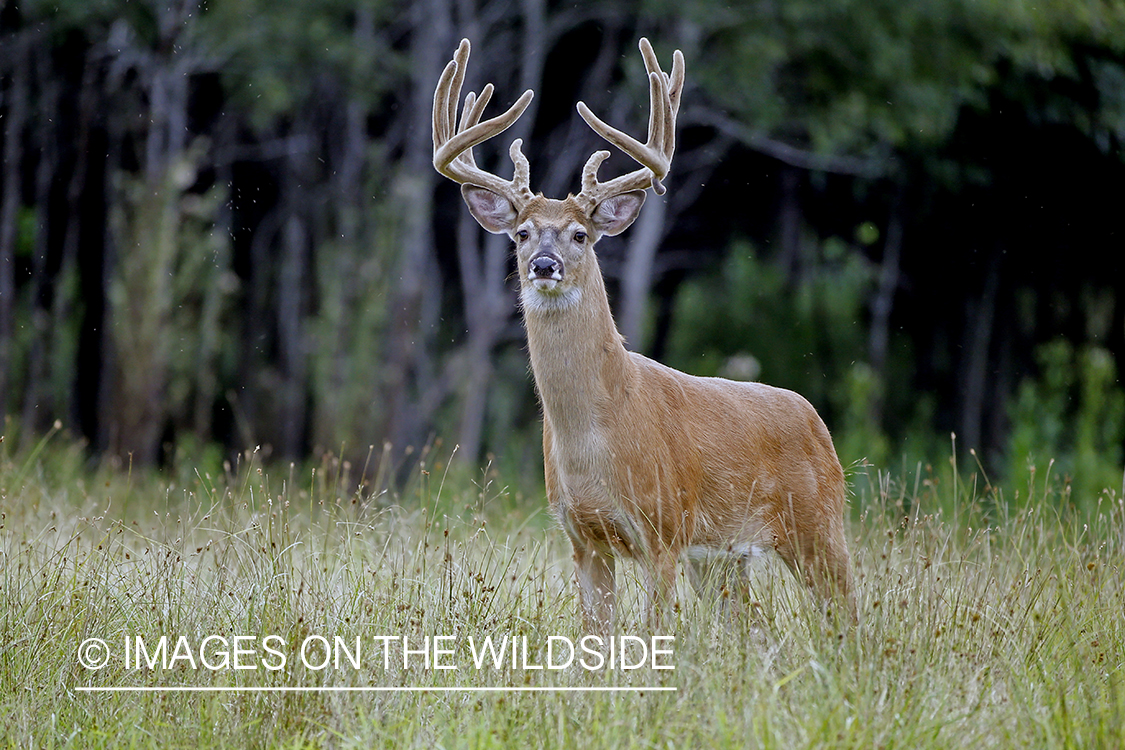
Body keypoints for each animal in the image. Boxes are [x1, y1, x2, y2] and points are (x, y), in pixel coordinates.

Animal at [429, 35, 850, 634]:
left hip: (818, 521)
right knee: (753, 628)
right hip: (724, 557)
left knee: (847, 609)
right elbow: (596, 635)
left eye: (580, 234)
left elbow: (655, 631)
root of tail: (818, 423)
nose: (543, 266)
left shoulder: (664, 529)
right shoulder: (582, 539)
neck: (597, 435)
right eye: (523, 232)